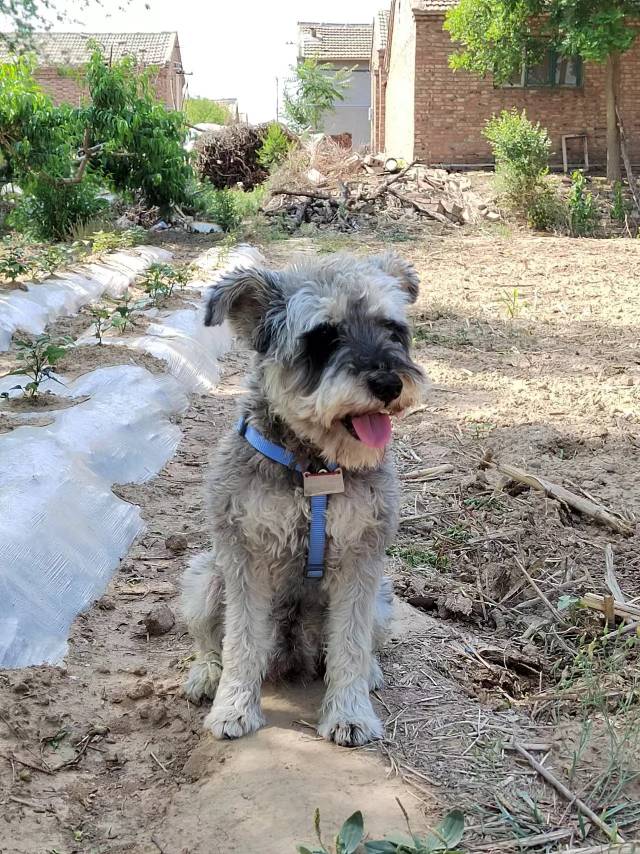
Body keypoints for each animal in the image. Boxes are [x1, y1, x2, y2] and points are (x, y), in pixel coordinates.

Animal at [181, 251, 424, 744]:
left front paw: (350, 713)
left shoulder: (360, 560)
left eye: (392, 328)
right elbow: (241, 640)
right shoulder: (244, 556)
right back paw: (206, 673)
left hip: (382, 600)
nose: (389, 384)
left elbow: (350, 642)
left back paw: (369, 673)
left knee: (363, 643)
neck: (315, 468)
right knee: (209, 640)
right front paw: (233, 707)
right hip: (205, 578)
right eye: (324, 335)